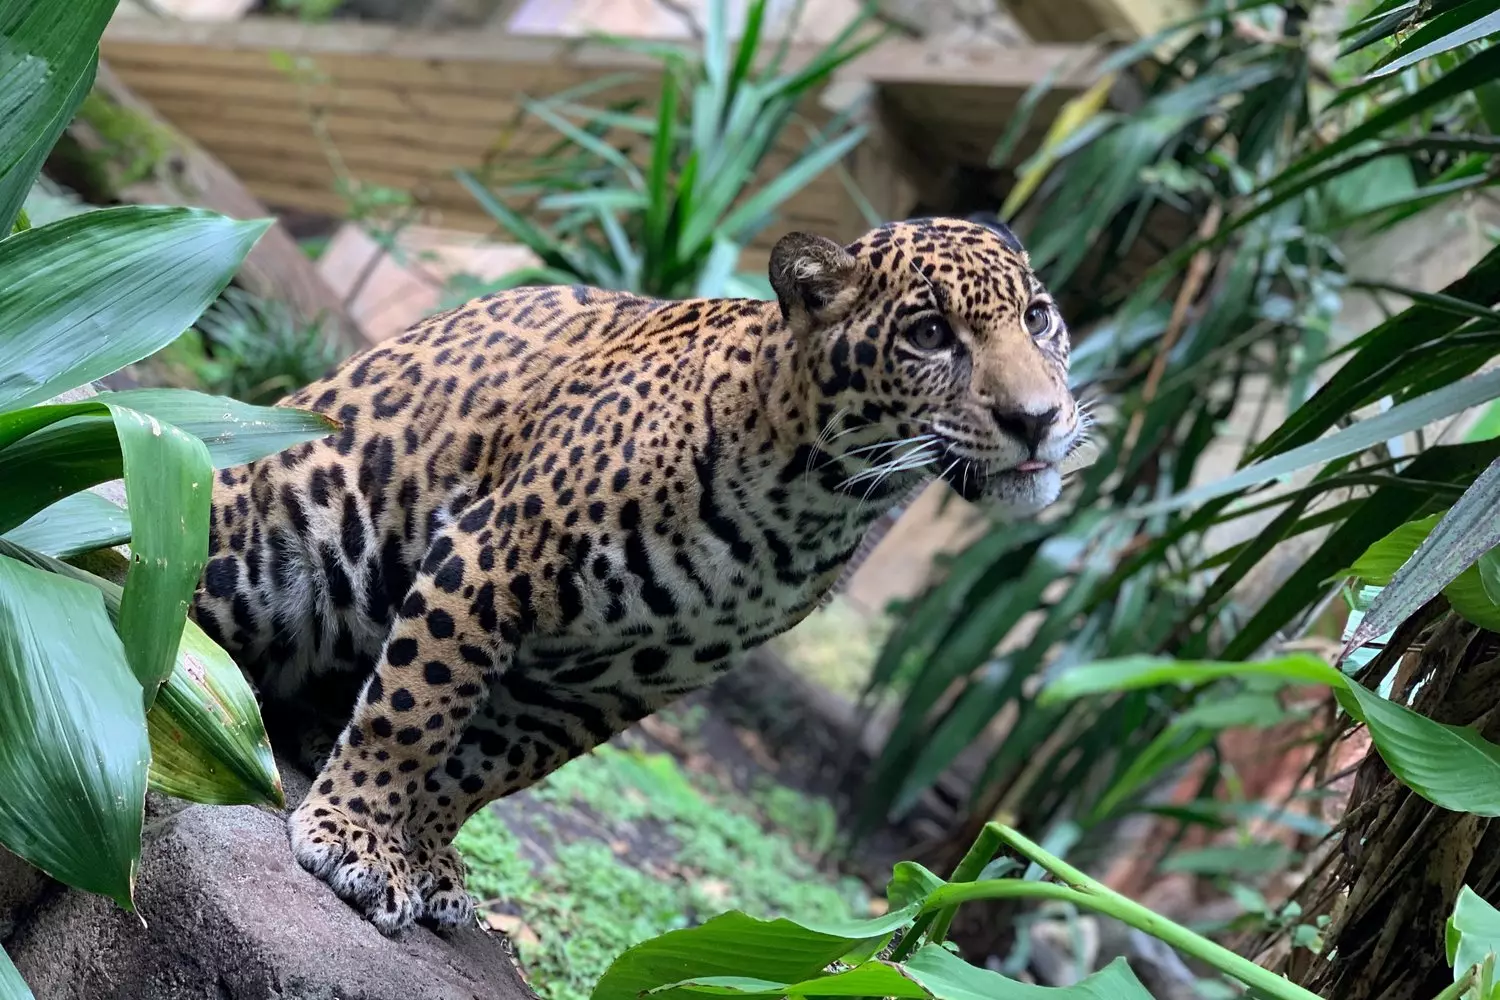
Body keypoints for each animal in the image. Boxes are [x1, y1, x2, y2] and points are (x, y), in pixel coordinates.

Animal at [189, 215, 1089, 937]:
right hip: (272, 548)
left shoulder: (613, 684)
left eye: (1038, 319)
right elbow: (417, 714)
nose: (1038, 418)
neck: (814, 504)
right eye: (932, 334)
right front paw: (362, 841)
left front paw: (426, 851)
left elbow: (483, 771)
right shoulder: (489, 559)